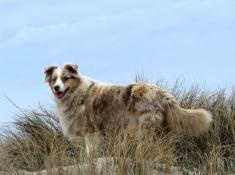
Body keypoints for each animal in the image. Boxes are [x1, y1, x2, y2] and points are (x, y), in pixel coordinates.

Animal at [44, 64, 213, 153]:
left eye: (65, 78)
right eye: (54, 79)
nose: (57, 88)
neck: (78, 93)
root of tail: (162, 93)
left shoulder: (91, 133)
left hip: (143, 128)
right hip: (161, 129)